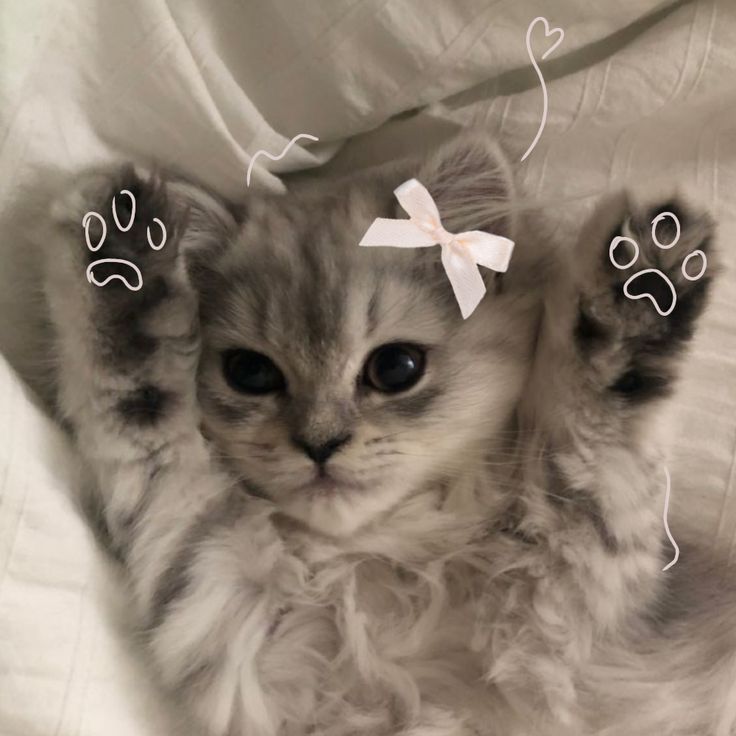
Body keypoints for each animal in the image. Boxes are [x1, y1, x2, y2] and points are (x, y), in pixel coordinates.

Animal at [40, 134, 736, 736]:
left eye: (396, 368)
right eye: (250, 374)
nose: (319, 445)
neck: (383, 557)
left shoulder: (583, 598)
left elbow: (589, 433)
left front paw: (642, 284)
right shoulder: (226, 616)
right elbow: (142, 413)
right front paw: (119, 258)